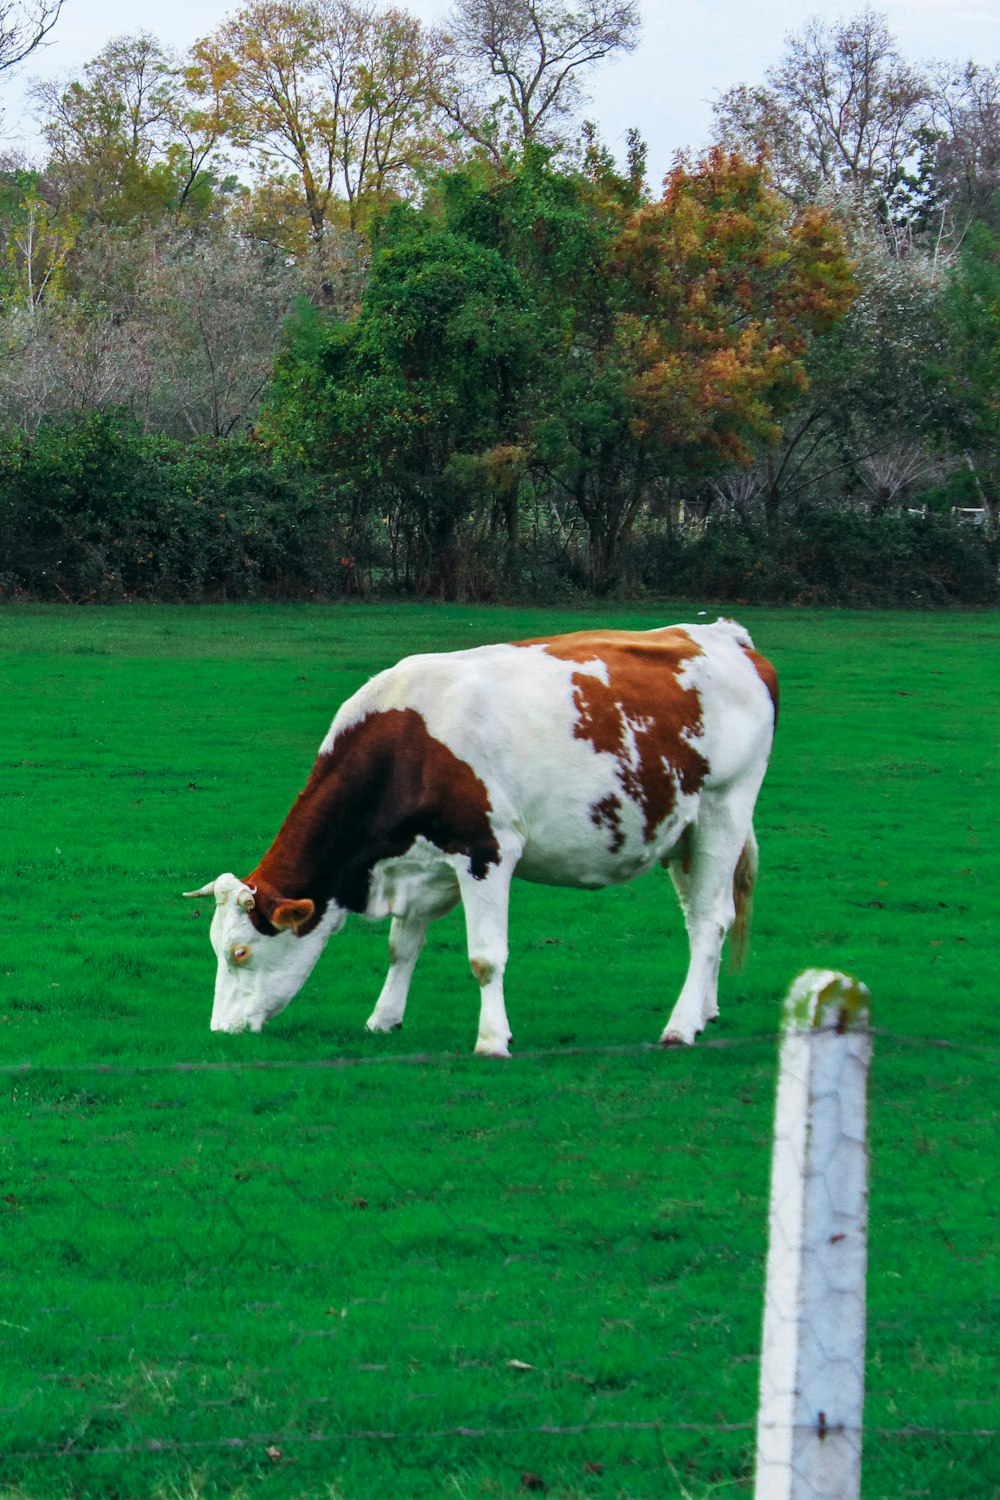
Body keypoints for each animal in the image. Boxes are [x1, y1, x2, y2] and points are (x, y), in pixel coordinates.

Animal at [187, 621, 779, 1056]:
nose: (220, 1032)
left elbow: (485, 957)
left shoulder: (485, 852)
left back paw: (680, 1027)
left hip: (725, 807)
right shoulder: (419, 863)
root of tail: (725, 635)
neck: (409, 743)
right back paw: (705, 1011)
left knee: (710, 920)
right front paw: (383, 1019)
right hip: (683, 832)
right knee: (705, 916)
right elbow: (402, 946)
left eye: (240, 951)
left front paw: (493, 1040)